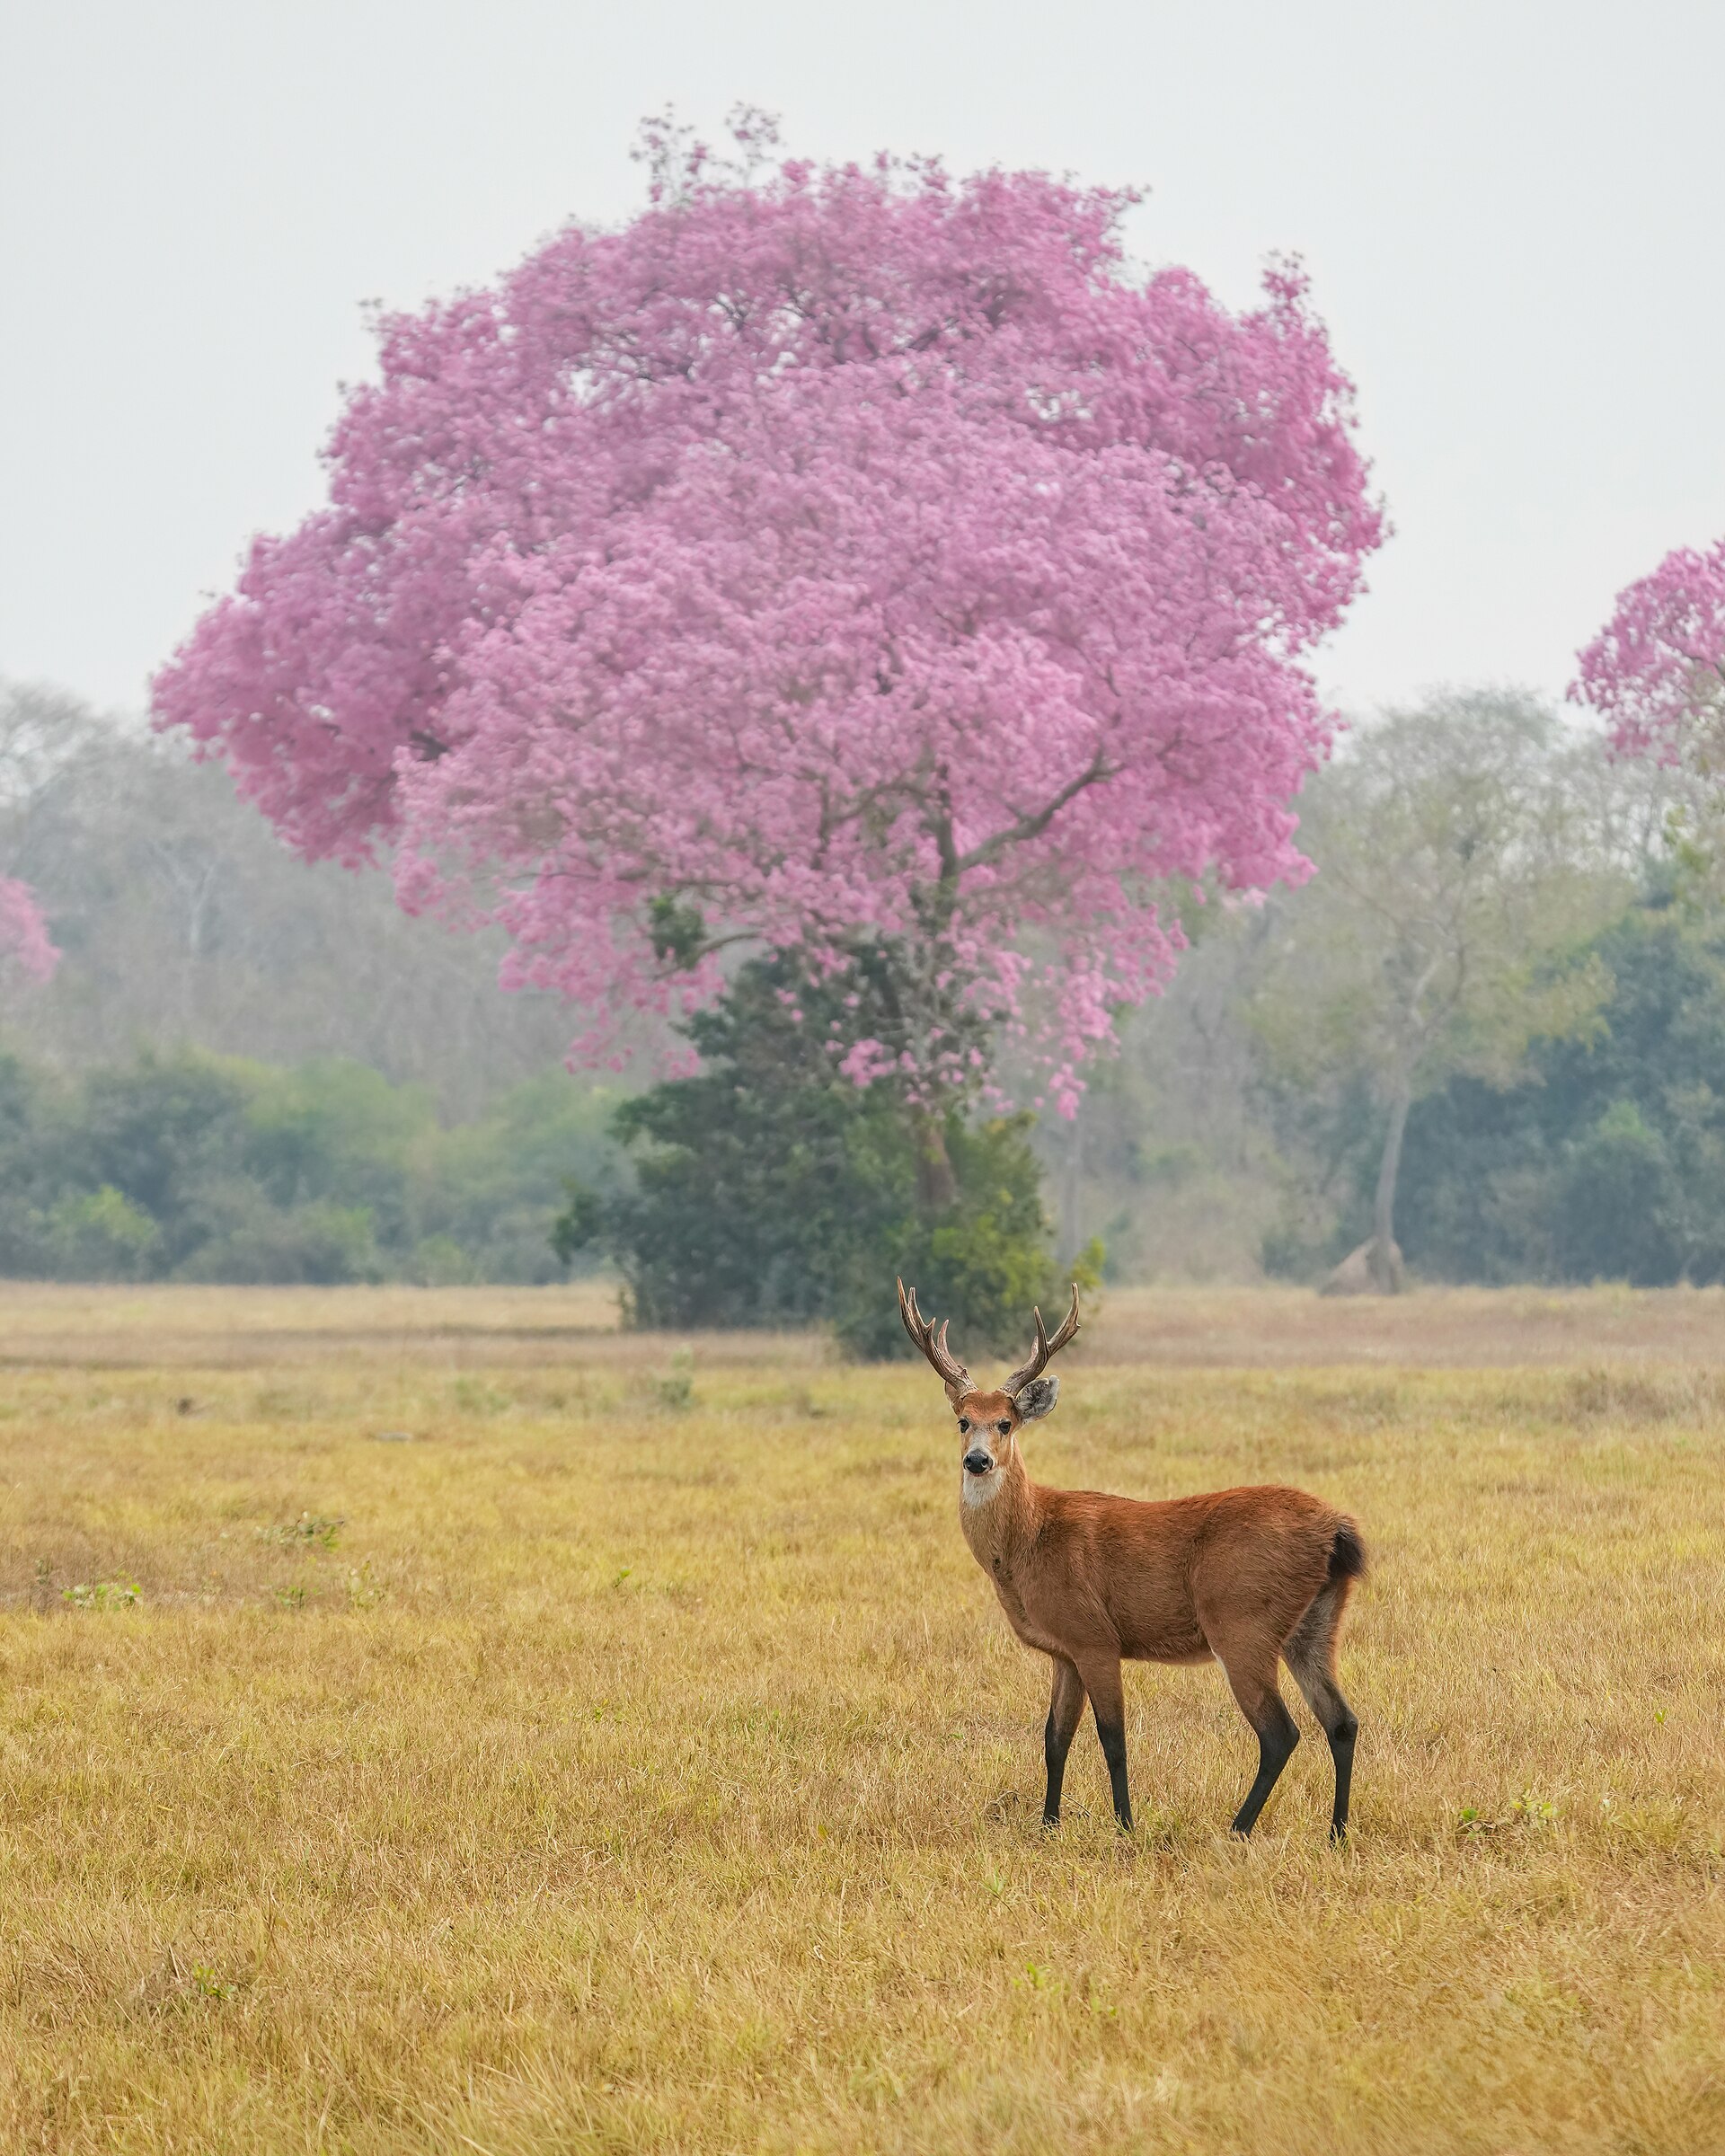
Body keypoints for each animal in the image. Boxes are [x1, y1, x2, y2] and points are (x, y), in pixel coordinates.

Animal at [898, 1279, 1364, 1840]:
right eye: (963, 1421)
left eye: (1006, 1423)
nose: (977, 1460)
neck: (1029, 1543)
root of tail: (1337, 1529)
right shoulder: (1065, 1652)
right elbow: (1054, 1739)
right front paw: (1048, 1824)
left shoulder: (1095, 1637)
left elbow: (1112, 1738)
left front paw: (1124, 1826)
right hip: (1314, 1623)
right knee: (1342, 1720)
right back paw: (1336, 1833)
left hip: (1242, 1620)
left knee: (1281, 1732)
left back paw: (1236, 1829)